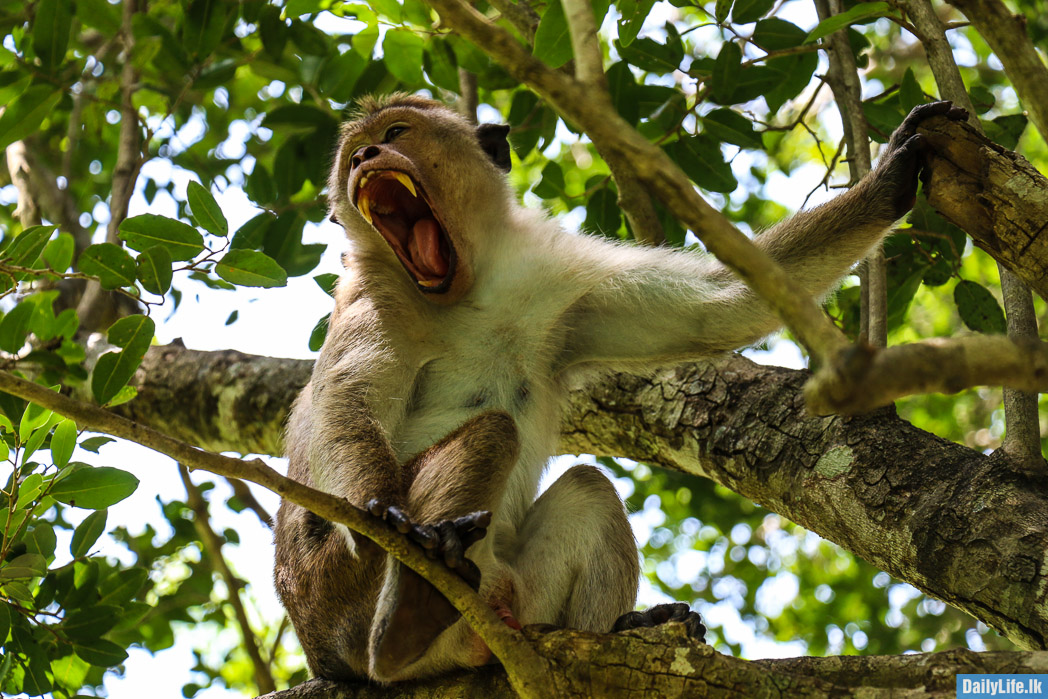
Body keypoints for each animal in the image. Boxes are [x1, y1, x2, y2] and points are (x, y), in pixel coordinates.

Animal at [273, 94, 967, 683]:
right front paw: (379, 513)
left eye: (395, 134)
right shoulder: (373, 297)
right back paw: (407, 617)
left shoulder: (562, 283)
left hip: (509, 594)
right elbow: (347, 399)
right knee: (491, 437)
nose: (365, 157)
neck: (467, 288)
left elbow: (720, 305)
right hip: (342, 594)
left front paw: (892, 177)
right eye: (354, 155)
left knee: (588, 490)